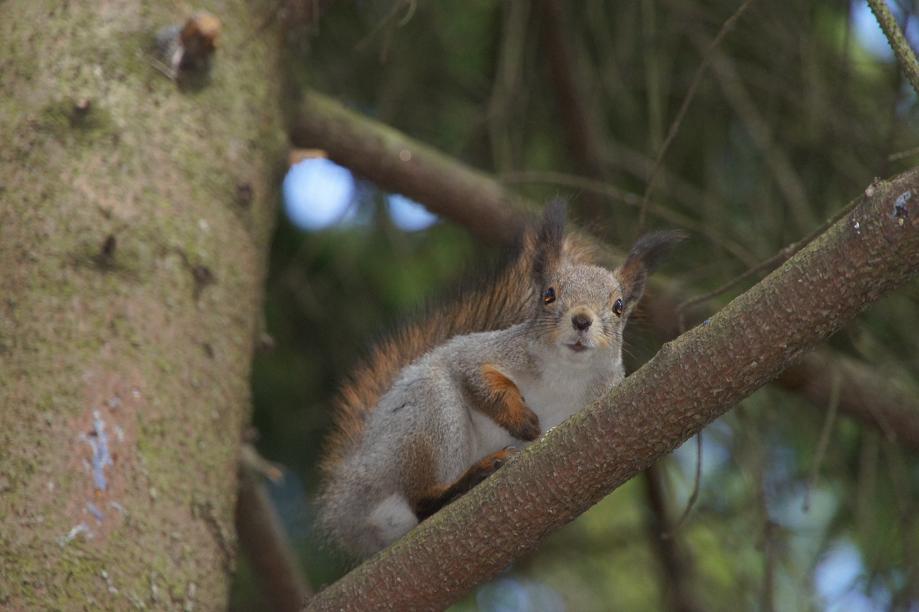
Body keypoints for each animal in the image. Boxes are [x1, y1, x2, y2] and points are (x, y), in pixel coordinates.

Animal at [316, 203, 684, 556]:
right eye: (549, 294)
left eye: (619, 306)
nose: (581, 320)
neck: (567, 374)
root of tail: (345, 500)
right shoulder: (483, 351)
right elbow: (473, 373)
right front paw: (519, 418)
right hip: (423, 421)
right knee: (422, 500)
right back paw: (468, 479)